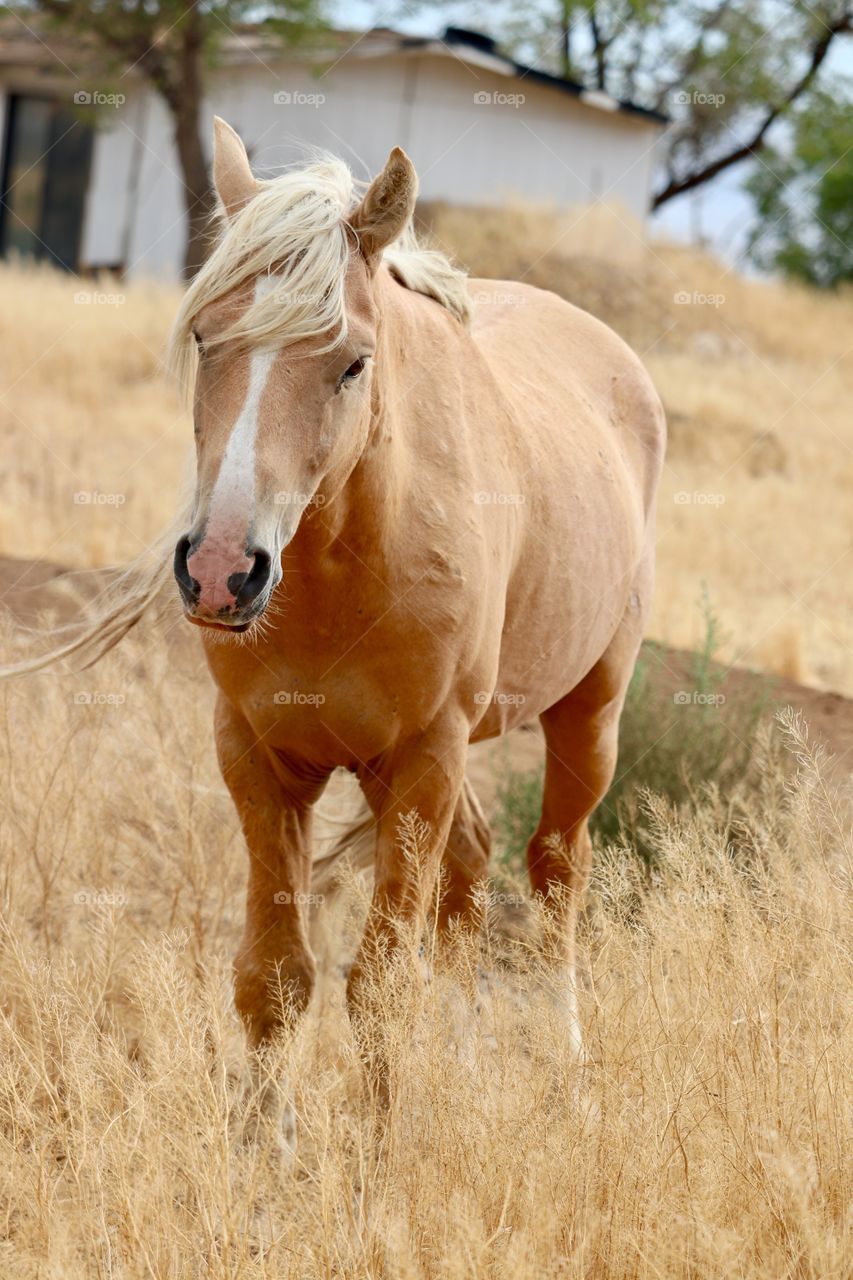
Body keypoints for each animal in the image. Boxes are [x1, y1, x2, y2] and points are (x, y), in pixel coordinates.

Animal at [11, 120, 666, 1085]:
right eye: (204, 338)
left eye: (353, 362)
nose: (221, 571)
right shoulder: (259, 759)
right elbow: (275, 977)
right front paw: (263, 1129)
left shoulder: (423, 762)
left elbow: (383, 990)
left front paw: (376, 1131)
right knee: (471, 874)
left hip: (588, 713)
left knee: (556, 870)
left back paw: (565, 1061)